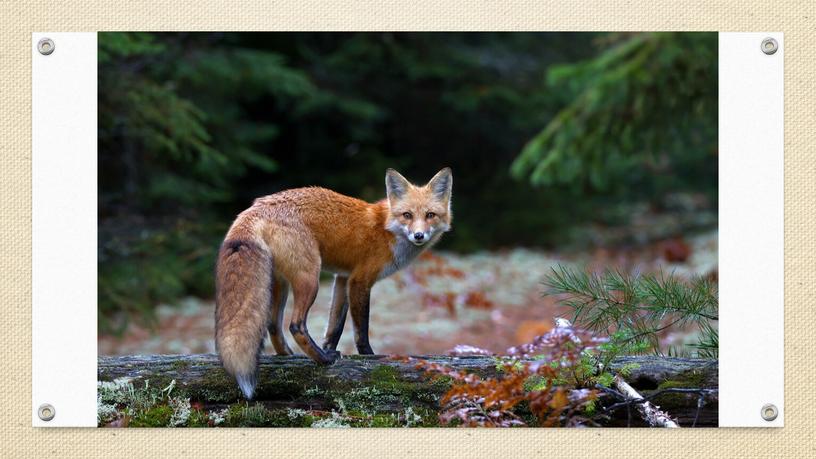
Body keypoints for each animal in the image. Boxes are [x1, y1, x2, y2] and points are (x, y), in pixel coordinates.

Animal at [217, 167, 452, 398]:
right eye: (407, 215)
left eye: (430, 215)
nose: (419, 235)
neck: (386, 230)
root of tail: (255, 207)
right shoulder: (359, 280)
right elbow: (361, 330)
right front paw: (368, 356)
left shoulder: (343, 279)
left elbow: (335, 327)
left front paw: (329, 347)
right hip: (310, 279)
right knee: (295, 325)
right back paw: (323, 360)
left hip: (280, 283)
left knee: (273, 325)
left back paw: (291, 356)